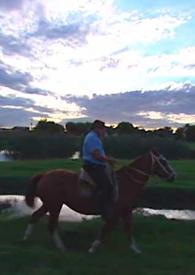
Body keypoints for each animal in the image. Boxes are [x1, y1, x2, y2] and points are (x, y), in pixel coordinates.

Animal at [23, 150, 176, 256]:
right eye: (163, 161)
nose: (173, 176)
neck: (125, 183)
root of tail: (45, 174)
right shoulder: (115, 213)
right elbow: (107, 228)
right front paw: (93, 248)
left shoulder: (125, 211)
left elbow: (127, 229)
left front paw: (135, 250)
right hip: (55, 205)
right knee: (51, 224)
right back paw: (61, 247)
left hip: (49, 204)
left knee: (36, 216)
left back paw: (26, 238)